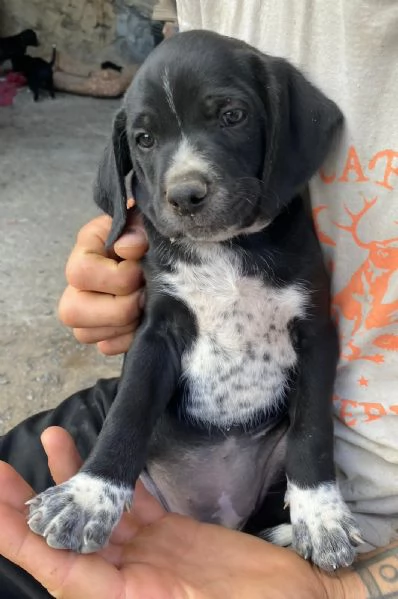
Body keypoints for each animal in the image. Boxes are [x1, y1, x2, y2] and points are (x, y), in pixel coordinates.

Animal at [26, 29, 362, 572]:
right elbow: (127, 412)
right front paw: (88, 497)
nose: (184, 195)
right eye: (144, 139)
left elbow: (312, 432)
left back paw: (284, 533)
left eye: (232, 116)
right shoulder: (156, 333)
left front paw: (322, 519)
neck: (227, 247)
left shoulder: (315, 332)